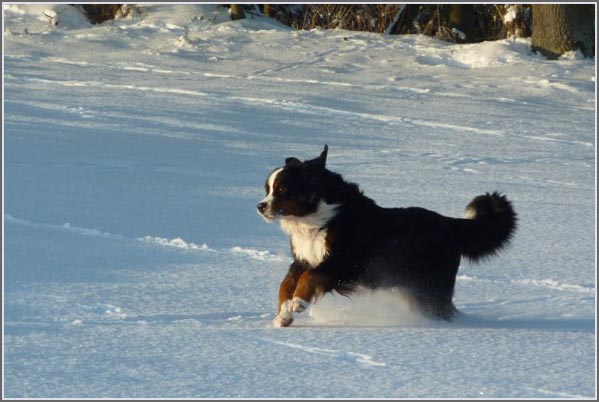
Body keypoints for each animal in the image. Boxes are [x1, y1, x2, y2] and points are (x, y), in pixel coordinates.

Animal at [257, 145, 517, 327]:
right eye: (267, 189)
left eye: (282, 189)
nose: (260, 206)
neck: (318, 216)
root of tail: (451, 224)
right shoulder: (302, 259)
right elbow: (286, 284)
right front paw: (284, 315)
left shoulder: (346, 261)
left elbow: (309, 278)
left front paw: (298, 303)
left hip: (429, 289)